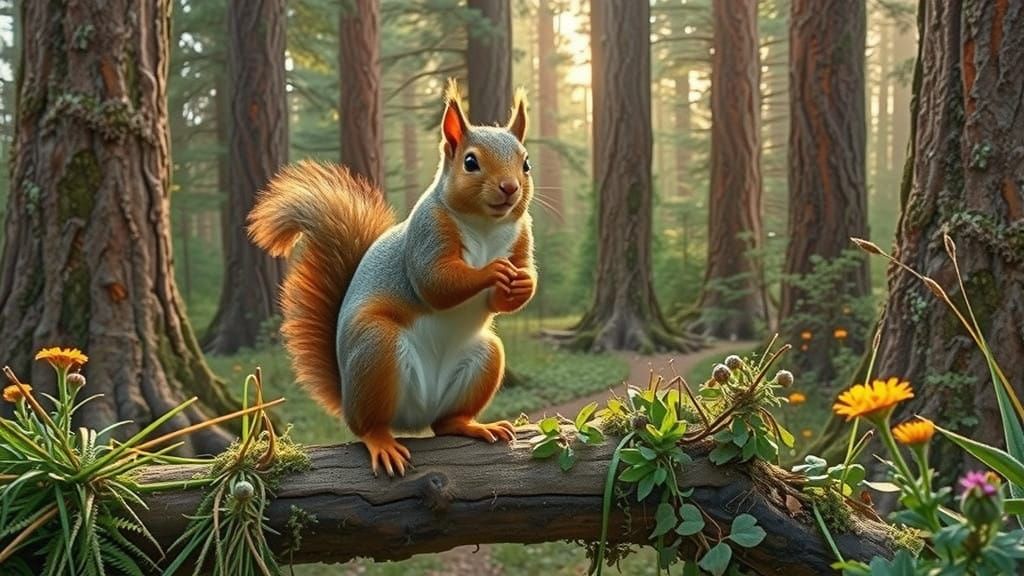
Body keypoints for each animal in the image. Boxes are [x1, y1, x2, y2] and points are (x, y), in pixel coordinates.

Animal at [247, 81, 536, 477]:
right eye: (470, 162)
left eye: (526, 163)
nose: (510, 187)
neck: (485, 226)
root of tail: (415, 415)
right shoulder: (427, 233)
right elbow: (435, 283)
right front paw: (491, 271)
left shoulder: (521, 238)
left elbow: (507, 292)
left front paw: (524, 283)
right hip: (377, 349)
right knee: (368, 425)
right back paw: (381, 441)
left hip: (485, 357)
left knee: (445, 422)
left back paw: (473, 425)